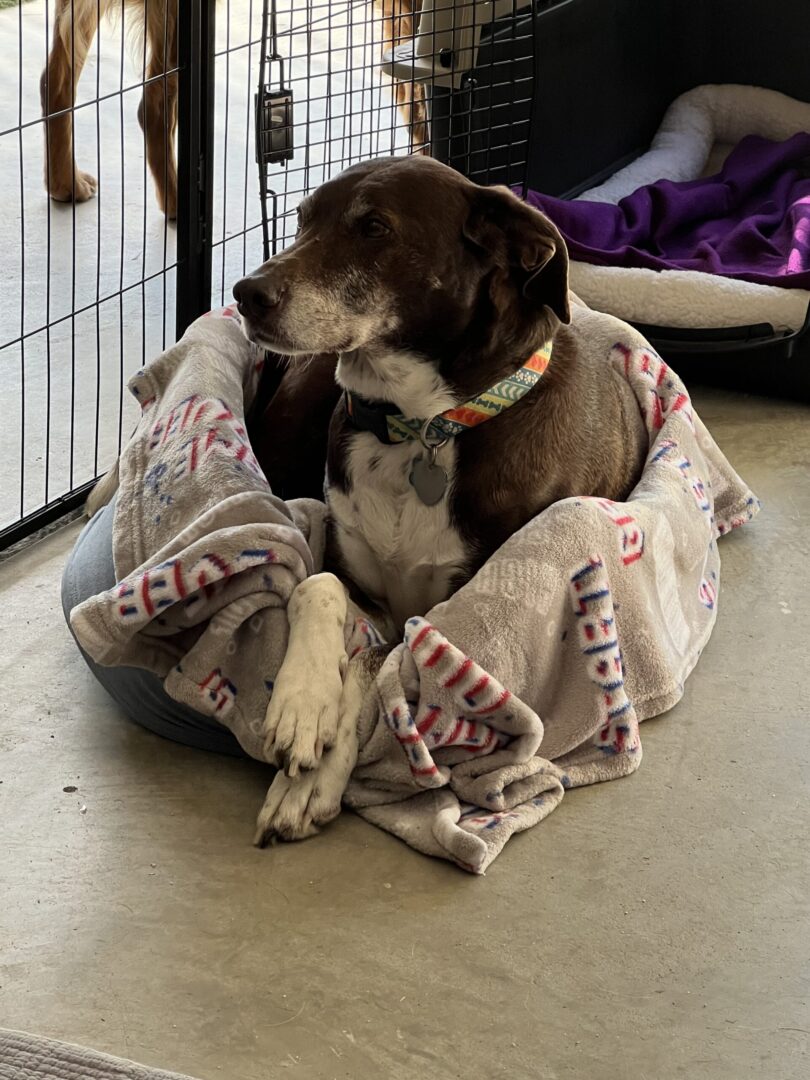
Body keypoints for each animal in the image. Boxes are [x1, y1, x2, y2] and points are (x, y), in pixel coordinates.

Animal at [234, 156, 648, 842]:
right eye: (302, 219)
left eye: (374, 226)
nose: (246, 293)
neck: (421, 427)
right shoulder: (352, 569)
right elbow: (318, 584)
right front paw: (301, 703)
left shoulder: (445, 609)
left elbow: (380, 665)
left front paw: (310, 779)